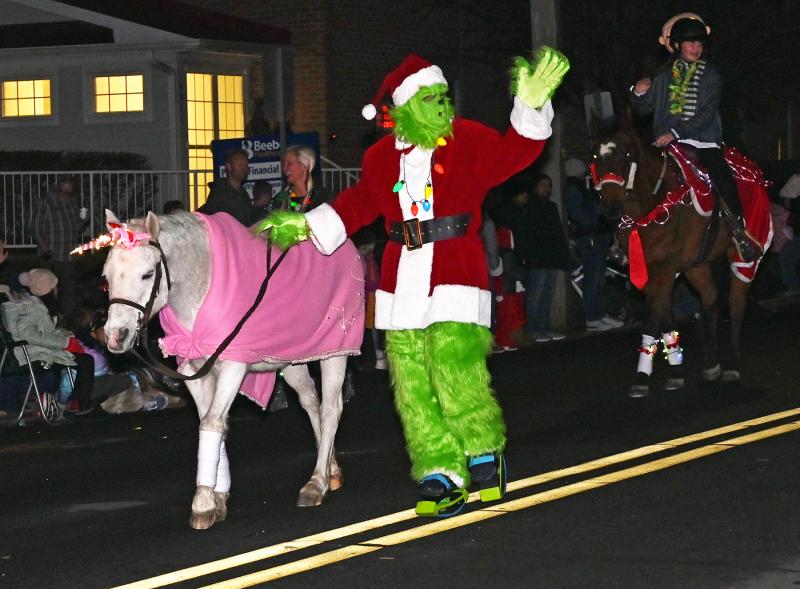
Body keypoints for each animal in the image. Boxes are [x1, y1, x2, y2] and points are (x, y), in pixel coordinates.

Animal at [101, 210, 366, 528]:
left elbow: (212, 423)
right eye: (106, 277)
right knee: (312, 404)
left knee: (330, 409)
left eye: (148, 274)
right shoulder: (193, 370)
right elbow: (214, 423)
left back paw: (316, 482)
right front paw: (218, 497)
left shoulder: (233, 368)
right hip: (292, 361)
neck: (201, 285)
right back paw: (331, 469)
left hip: (335, 352)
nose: (116, 336)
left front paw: (203, 502)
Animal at [592, 126, 752, 398]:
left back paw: (732, 366)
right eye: (595, 157)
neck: (652, 205)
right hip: (697, 265)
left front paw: (642, 377)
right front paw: (676, 370)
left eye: (626, 156)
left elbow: (652, 318)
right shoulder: (648, 269)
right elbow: (664, 315)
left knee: (736, 303)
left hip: (741, 257)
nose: (611, 207)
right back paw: (711, 362)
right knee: (710, 299)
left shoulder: (665, 269)